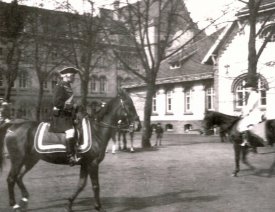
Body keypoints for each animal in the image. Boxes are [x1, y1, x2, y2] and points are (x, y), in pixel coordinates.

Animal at [0, 88, 140, 211]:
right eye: (129, 105)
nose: (138, 125)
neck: (96, 131)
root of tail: (13, 125)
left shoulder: (85, 164)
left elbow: (81, 185)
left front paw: (69, 204)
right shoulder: (93, 163)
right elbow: (95, 186)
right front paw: (98, 207)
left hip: (31, 160)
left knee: (19, 177)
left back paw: (24, 200)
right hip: (18, 159)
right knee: (11, 178)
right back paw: (14, 205)